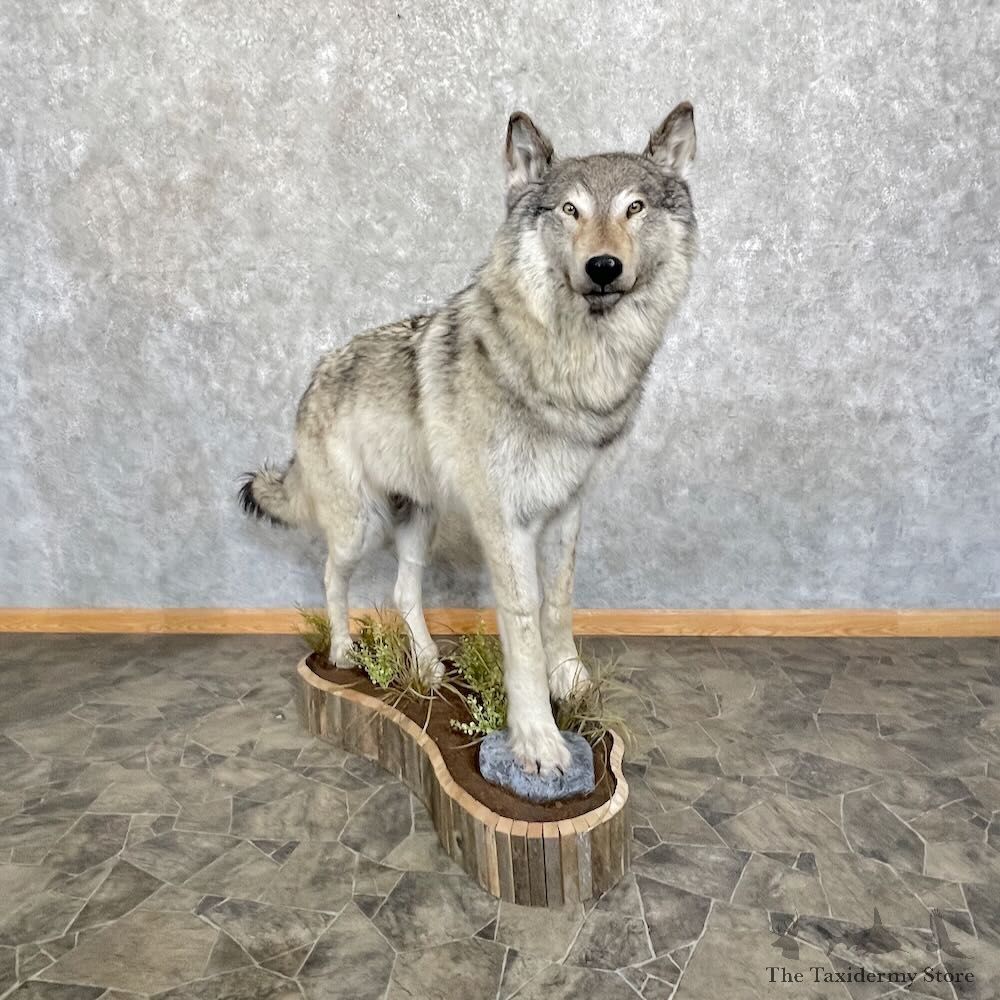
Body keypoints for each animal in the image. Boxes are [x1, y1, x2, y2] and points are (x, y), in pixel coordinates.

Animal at [240, 103, 697, 775]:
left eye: (634, 207)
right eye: (570, 210)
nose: (603, 267)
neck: (572, 370)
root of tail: (315, 376)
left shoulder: (565, 512)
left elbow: (559, 601)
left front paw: (570, 683)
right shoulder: (506, 522)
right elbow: (523, 622)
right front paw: (538, 740)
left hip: (418, 524)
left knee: (403, 592)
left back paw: (430, 669)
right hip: (360, 528)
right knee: (331, 578)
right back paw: (346, 652)